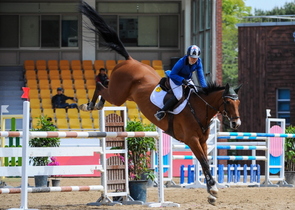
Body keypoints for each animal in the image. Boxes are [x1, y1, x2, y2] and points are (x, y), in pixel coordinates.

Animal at [80, 1, 242, 205]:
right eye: (227, 102)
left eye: (238, 103)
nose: (236, 123)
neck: (198, 109)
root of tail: (130, 60)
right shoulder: (192, 140)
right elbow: (204, 162)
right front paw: (213, 190)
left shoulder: (203, 141)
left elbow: (205, 163)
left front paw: (211, 193)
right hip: (118, 95)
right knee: (101, 85)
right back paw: (91, 105)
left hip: (124, 95)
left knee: (105, 85)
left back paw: (98, 104)